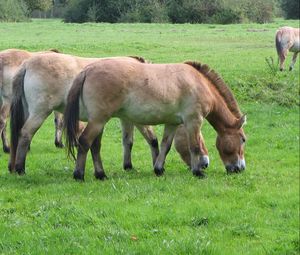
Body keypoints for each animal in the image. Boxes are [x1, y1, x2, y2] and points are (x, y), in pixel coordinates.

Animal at [8, 51, 159, 175]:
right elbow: (152, 139)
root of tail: (27, 64)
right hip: (39, 113)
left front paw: (128, 165)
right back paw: (20, 168)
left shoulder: (126, 118)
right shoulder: (138, 119)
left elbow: (128, 141)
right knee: (25, 133)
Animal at [64, 58, 247, 180]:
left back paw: (100, 174)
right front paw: (198, 172)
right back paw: (79, 174)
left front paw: (159, 169)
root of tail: (88, 70)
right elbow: (194, 146)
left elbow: (166, 146)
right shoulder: (193, 121)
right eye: (243, 139)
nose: (240, 168)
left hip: (99, 121)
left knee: (95, 146)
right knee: (85, 142)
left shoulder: (172, 123)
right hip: (98, 120)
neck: (198, 82)